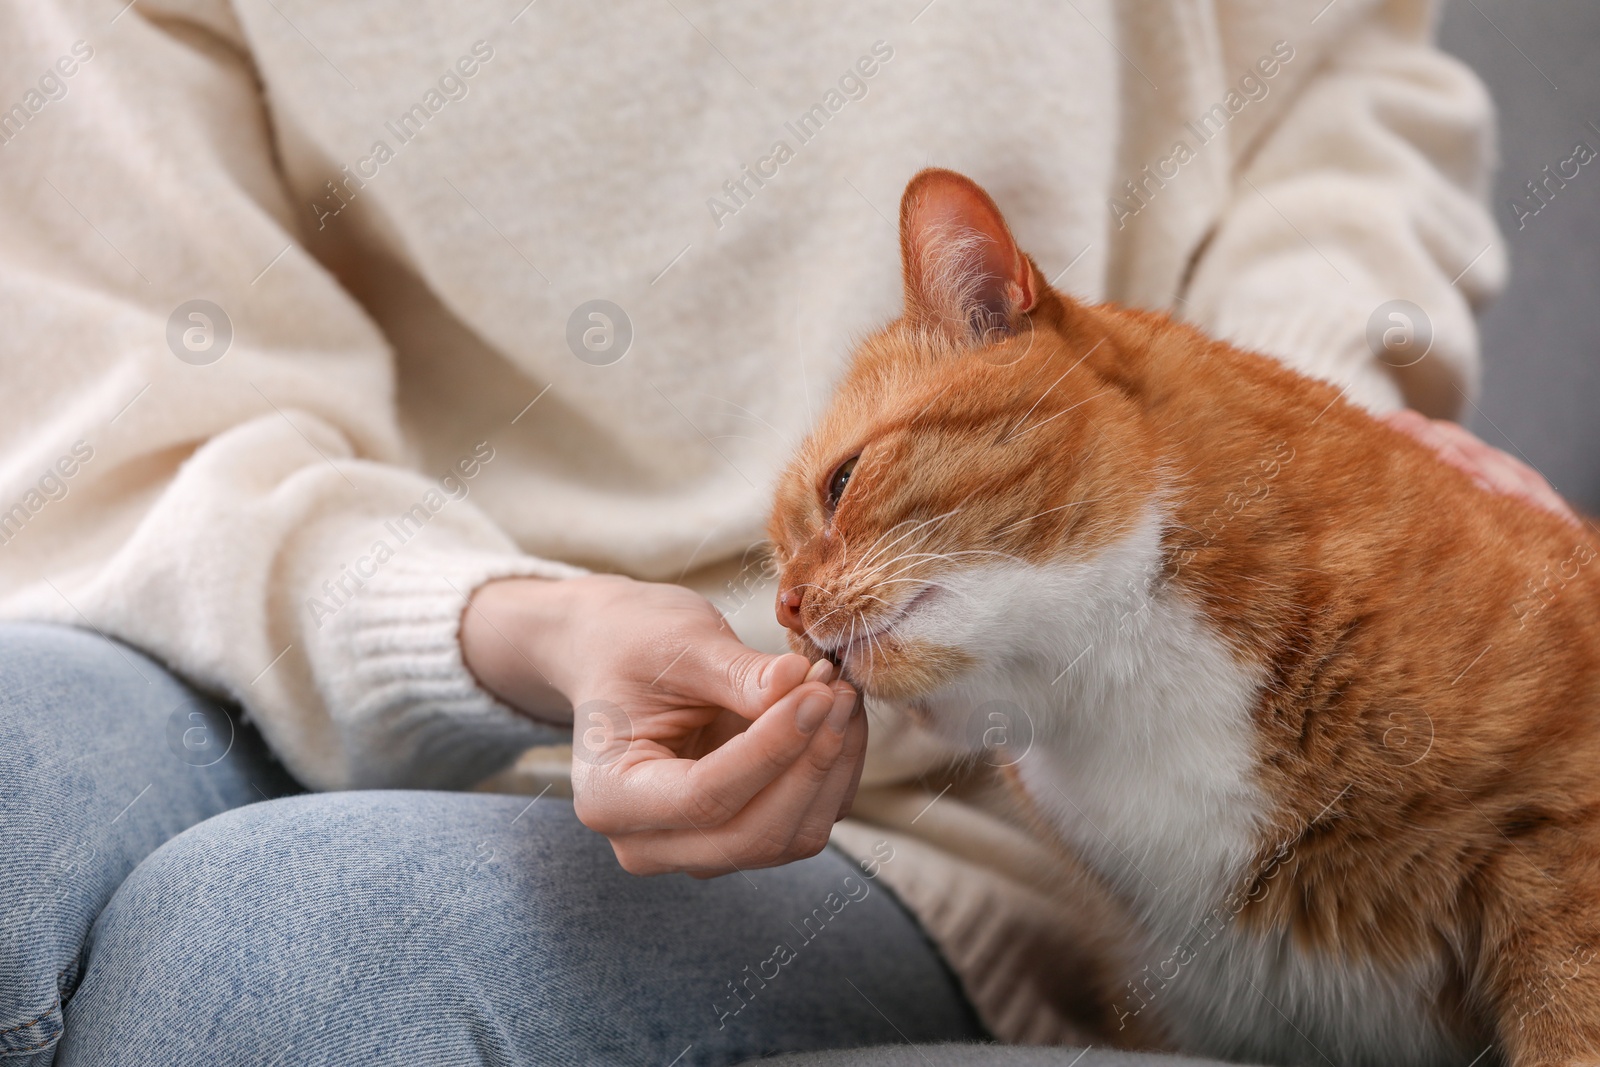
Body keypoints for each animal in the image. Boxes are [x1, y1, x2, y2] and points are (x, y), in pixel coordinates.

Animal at [768, 168, 1600, 1067]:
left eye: (841, 483)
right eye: (777, 560)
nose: (784, 606)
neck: (1124, 684)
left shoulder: (1559, 856)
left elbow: (1566, 1023)